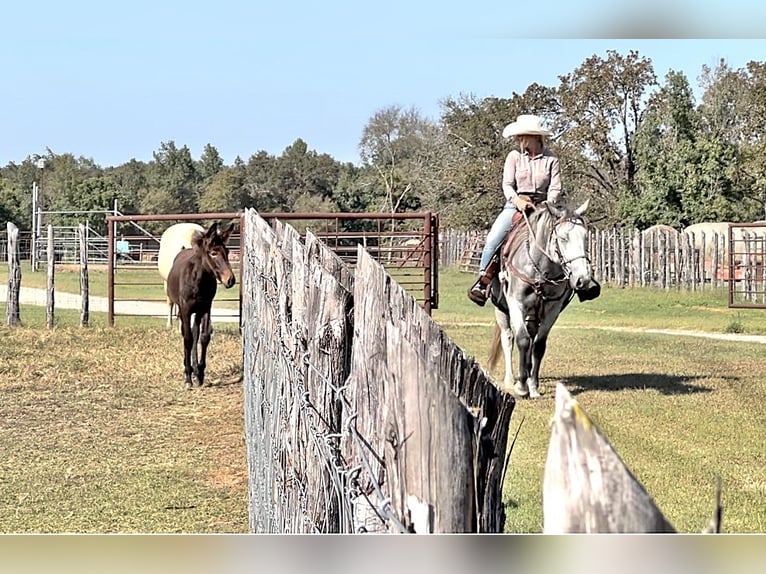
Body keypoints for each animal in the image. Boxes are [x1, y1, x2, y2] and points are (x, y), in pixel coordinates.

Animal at [488, 202, 596, 400]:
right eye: (563, 238)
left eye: (585, 237)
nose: (583, 279)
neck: (540, 270)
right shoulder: (516, 304)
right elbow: (522, 340)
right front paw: (521, 386)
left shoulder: (552, 309)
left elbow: (538, 345)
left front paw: (533, 386)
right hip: (501, 309)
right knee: (508, 338)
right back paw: (510, 379)